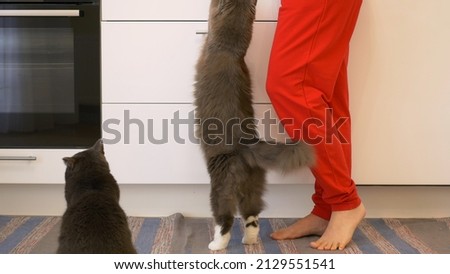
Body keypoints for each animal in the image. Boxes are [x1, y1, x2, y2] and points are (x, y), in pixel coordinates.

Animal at [192, 0, 312, 252]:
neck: (231, 52)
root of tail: (247, 145)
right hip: (253, 186)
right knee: (252, 216)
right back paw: (250, 239)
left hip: (221, 185)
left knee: (225, 218)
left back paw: (216, 244)